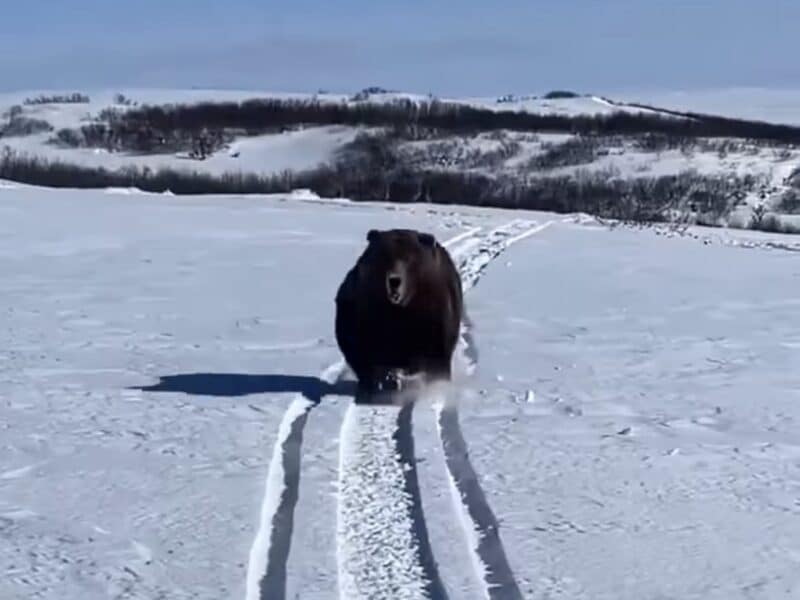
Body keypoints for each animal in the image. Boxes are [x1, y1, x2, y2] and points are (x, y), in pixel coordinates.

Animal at [335, 228, 463, 394]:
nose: (394, 280)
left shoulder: (432, 320)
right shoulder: (366, 318)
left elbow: (438, 360)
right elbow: (363, 356)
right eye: (384, 256)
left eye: (409, 259)